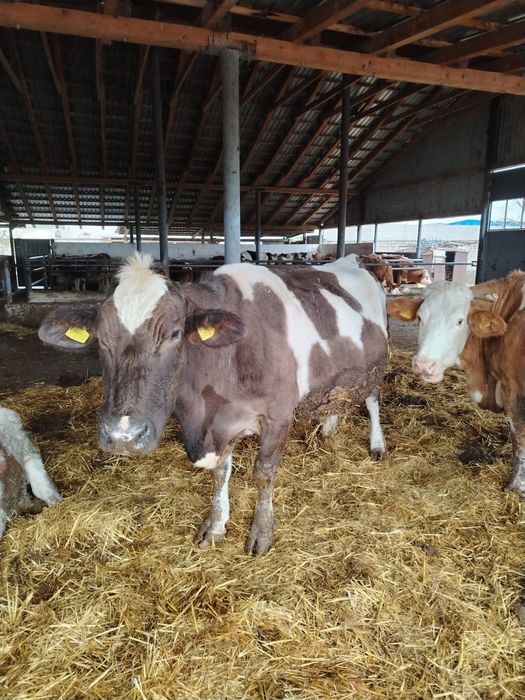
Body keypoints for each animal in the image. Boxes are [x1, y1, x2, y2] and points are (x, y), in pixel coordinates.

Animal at [38, 253, 388, 554]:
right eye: (101, 338)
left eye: (174, 334)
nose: (123, 435)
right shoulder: (218, 424)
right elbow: (220, 473)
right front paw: (216, 525)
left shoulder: (278, 416)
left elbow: (264, 473)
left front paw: (262, 531)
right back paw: (328, 425)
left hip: (375, 365)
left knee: (372, 400)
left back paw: (377, 444)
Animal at [387, 271, 525, 496]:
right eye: (420, 317)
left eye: (460, 321)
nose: (424, 365)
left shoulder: (514, 389)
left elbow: (519, 438)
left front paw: (516, 487)